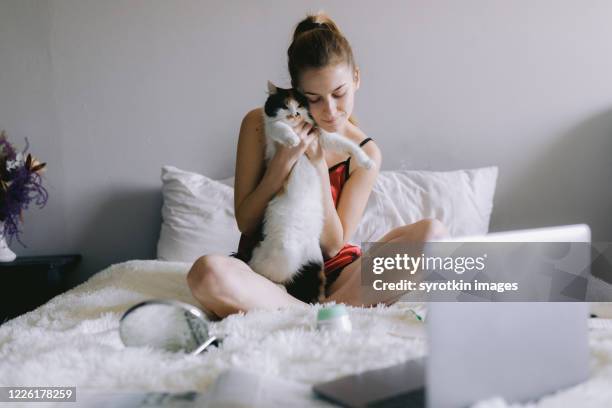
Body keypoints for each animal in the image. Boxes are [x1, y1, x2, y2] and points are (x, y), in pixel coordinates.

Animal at [247, 81, 372, 302]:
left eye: (299, 105)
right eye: (285, 105)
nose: (294, 114)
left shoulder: (321, 135)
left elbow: (348, 145)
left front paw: (366, 161)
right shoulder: (272, 131)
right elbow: (279, 126)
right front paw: (293, 140)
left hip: (314, 261)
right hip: (283, 252)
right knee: (262, 273)